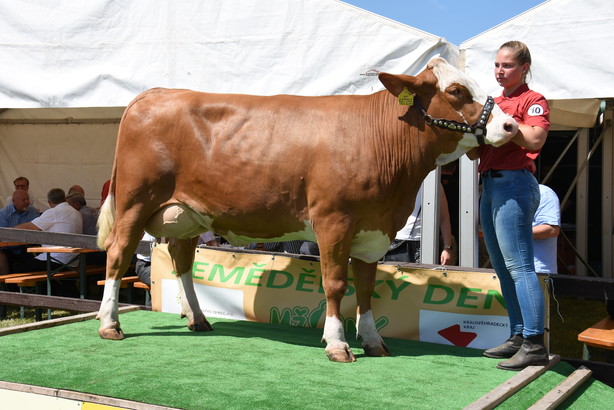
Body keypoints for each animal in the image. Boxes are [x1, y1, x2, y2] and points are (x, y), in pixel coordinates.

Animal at [97, 56, 520, 362]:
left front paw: (374, 341)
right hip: (135, 200)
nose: (511, 126)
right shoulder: (334, 220)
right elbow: (334, 283)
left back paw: (199, 320)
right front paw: (337, 344)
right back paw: (109, 324)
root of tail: (155, 93)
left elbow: (366, 287)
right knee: (118, 253)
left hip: (188, 213)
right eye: (456, 90)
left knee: (182, 258)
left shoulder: (374, 230)